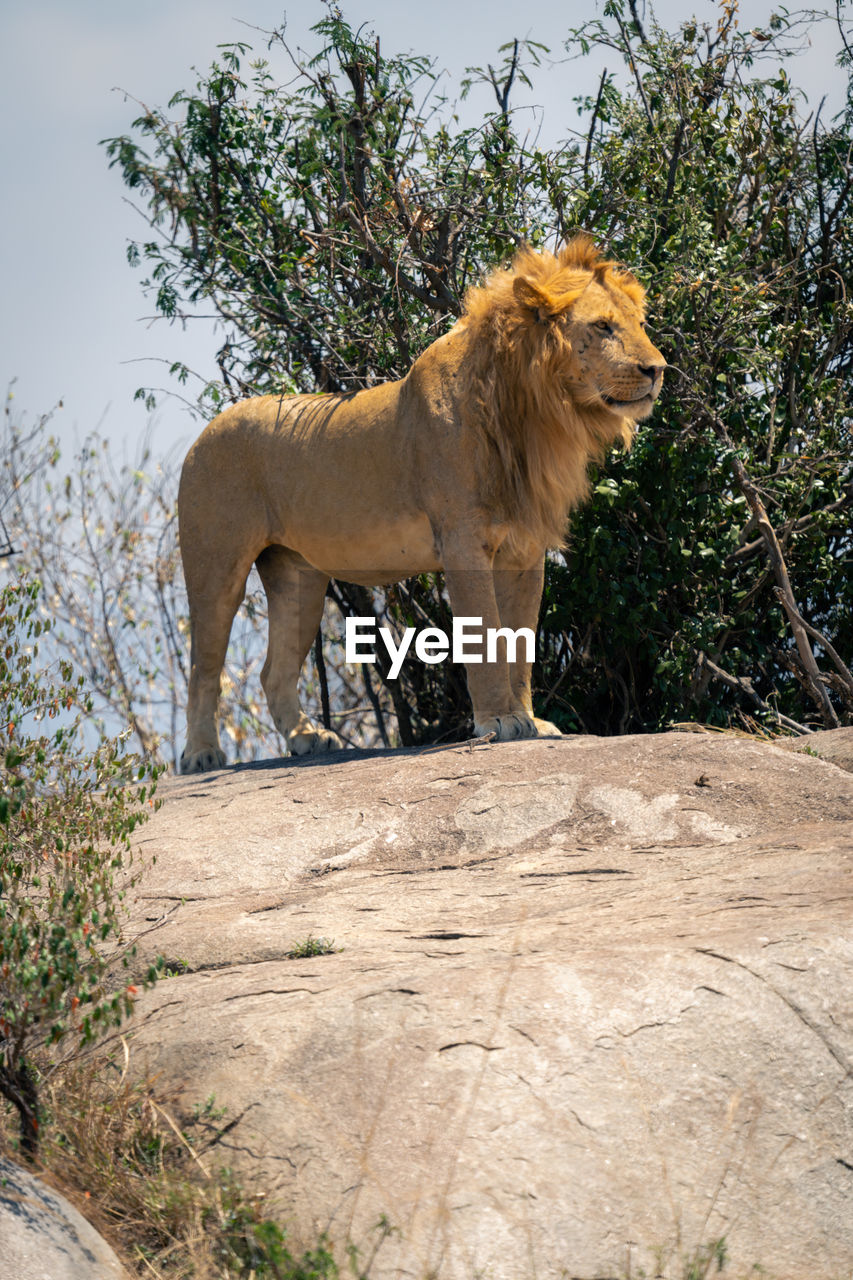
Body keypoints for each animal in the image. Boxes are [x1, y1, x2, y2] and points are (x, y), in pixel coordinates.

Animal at [175, 231, 660, 773]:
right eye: (602, 326)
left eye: (640, 324)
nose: (658, 370)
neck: (534, 414)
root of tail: (205, 431)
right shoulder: (464, 542)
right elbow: (485, 635)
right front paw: (500, 721)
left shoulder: (525, 551)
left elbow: (520, 641)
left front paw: (533, 722)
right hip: (217, 562)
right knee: (204, 665)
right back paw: (201, 755)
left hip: (297, 575)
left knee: (272, 671)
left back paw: (308, 738)